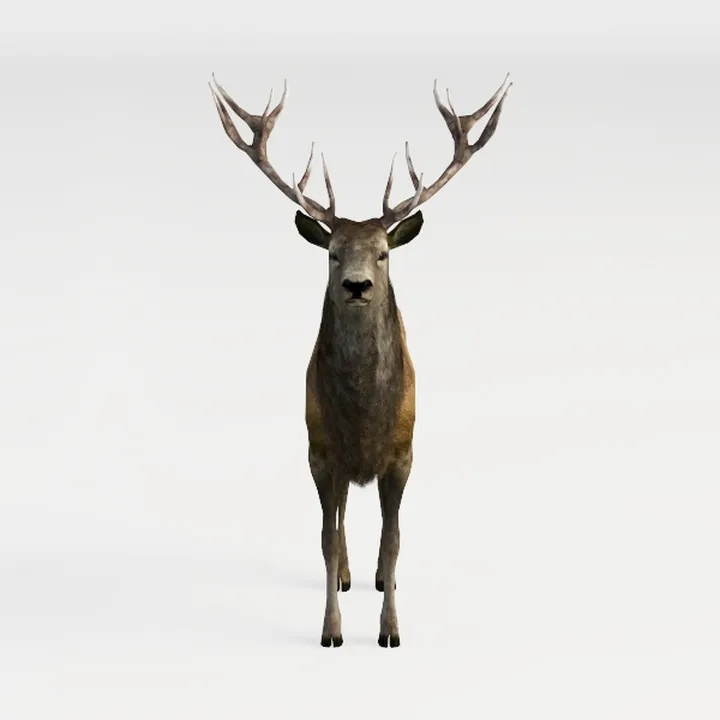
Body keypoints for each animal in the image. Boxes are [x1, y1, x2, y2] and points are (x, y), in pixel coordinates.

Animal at [209, 72, 511, 648]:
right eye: (332, 253)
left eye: (383, 253)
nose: (356, 285)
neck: (364, 414)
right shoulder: (319, 452)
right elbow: (326, 538)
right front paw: (331, 630)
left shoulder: (404, 453)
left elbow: (394, 540)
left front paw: (390, 628)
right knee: (343, 515)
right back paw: (349, 576)